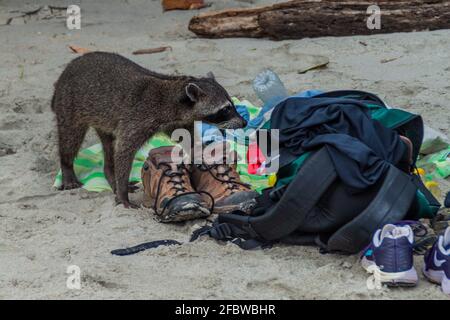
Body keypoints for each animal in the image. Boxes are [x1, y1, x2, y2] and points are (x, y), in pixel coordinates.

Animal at [52, 51, 246, 209]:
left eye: (231, 105)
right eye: (226, 109)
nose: (244, 122)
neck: (174, 96)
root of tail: (66, 72)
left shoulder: (174, 121)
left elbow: (186, 138)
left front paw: (201, 152)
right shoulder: (137, 119)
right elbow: (124, 150)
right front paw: (122, 192)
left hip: (103, 118)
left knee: (108, 144)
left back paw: (110, 174)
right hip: (69, 105)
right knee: (71, 138)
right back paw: (68, 166)